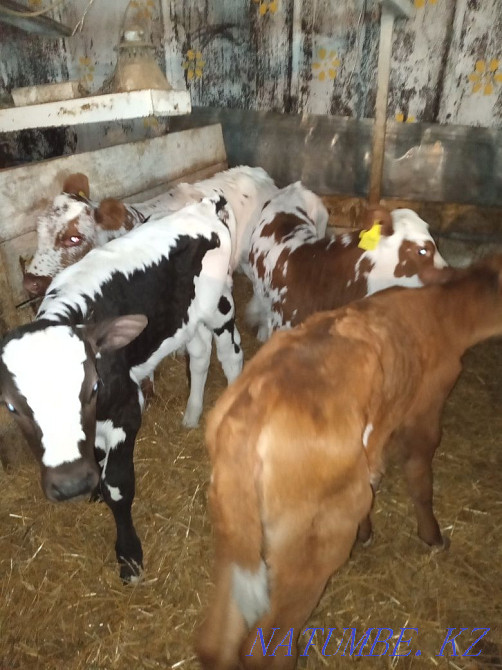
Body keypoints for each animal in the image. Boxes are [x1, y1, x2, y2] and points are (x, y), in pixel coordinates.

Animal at [0, 196, 242, 582]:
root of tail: (203, 205)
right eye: (12, 407)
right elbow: (98, 456)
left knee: (231, 356)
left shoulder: (127, 407)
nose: (70, 485)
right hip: (185, 320)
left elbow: (118, 484)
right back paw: (191, 416)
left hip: (220, 306)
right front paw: (94, 488)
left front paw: (129, 556)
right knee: (199, 355)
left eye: (93, 387)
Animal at [196, 254, 502, 669]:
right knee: (262, 647)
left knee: (217, 641)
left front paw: (368, 531)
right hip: (312, 540)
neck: (445, 310)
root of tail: (249, 413)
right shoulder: (425, 409)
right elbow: (420, 477)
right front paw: (433, 536)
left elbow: (377, 473)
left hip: (235, 532)